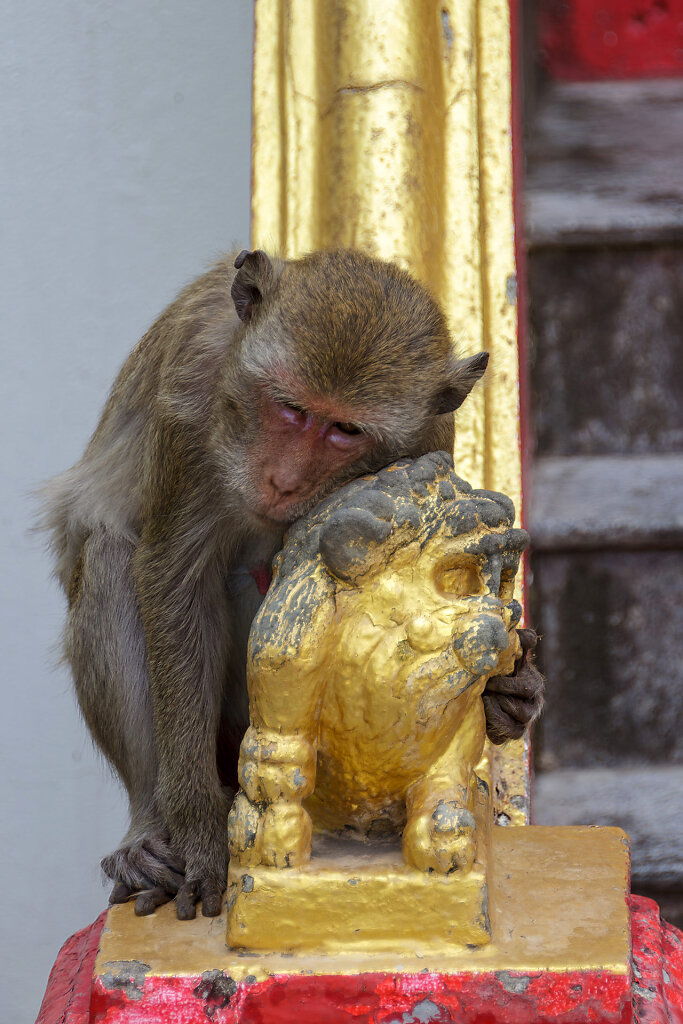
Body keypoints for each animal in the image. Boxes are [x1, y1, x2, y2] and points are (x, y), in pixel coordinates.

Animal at [42, 247, 544, 921]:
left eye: (346, 431)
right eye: (290, 407)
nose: (282, 481)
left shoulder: (429, 438)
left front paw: (507, 689)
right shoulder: (190, 397)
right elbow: (173, 581)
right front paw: (200, 838)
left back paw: (505, 700)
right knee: (110, 559)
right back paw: (149, 832)